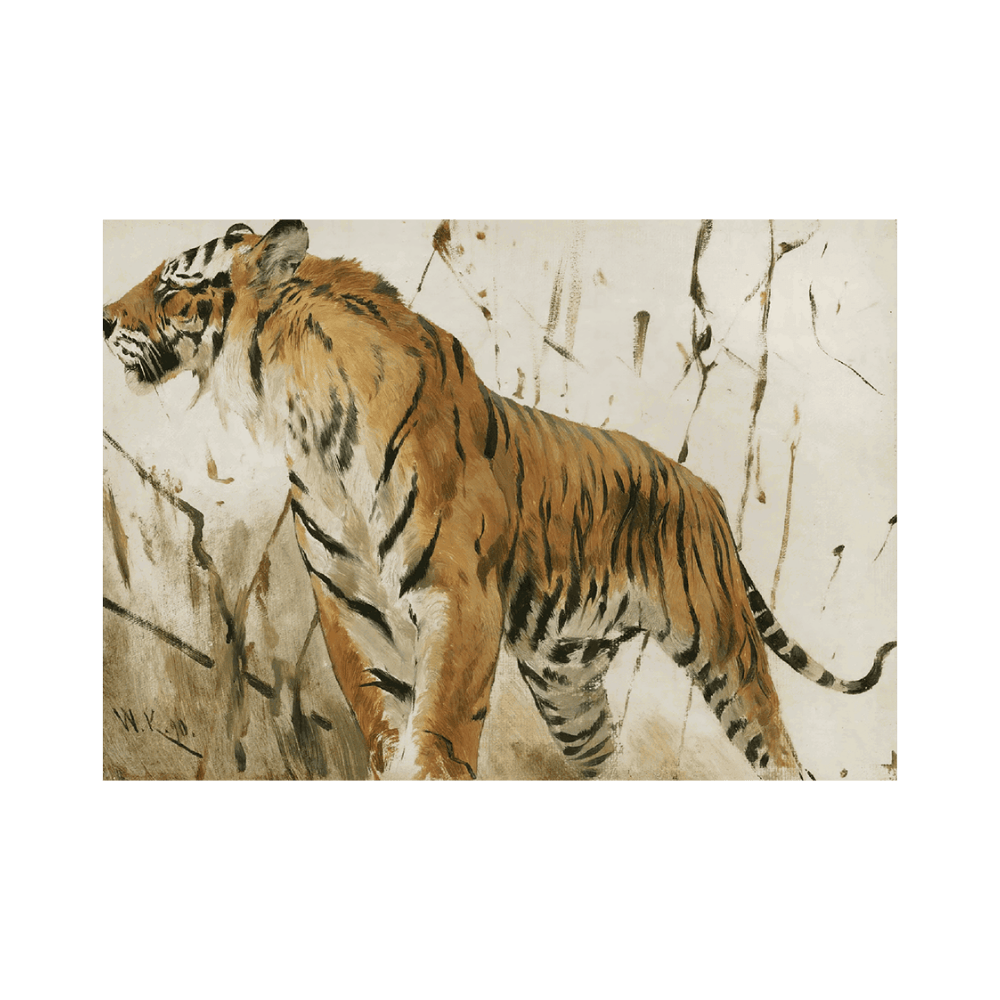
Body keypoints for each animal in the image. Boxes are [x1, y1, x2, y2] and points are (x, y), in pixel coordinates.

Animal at [102, 219, 896, 780]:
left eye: (171, 287)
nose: (104, 319)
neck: (308, 423)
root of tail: (704, 490)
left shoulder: (460, 600)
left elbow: (440, 730)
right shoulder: (350, 607)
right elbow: (384, 722)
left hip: (723, 644)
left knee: (782, 754)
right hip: (567, 681)